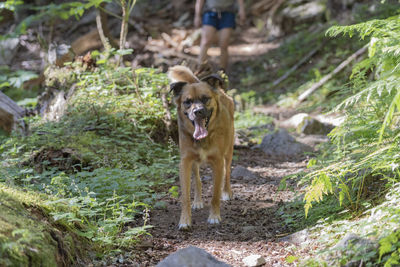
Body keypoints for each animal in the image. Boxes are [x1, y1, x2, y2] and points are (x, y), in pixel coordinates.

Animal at [168, 65, 234, 230]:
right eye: (187, 102)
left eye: (205, 98)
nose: (197, 111)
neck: (204, 138)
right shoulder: (185, 162)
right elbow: (185, 196)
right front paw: (185, 220)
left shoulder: (218, 162)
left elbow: (215, 194)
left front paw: (214, 216)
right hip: (194, 162)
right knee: (197, 179)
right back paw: (198, 201)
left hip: (228, 152)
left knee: (228, 173)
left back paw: (227, 192)